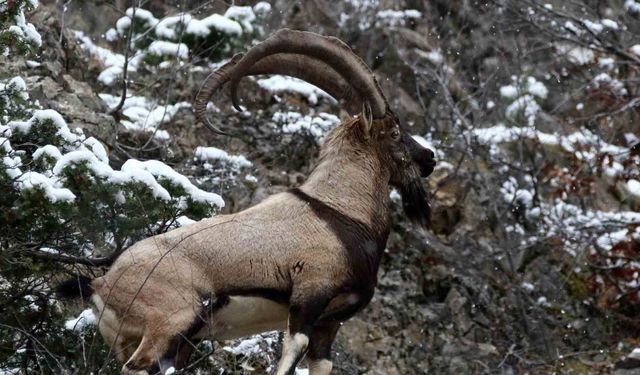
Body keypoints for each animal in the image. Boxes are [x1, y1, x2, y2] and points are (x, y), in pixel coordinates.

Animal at [60, 27, 438, 374]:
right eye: (394, 132)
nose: (429, 158)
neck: (340, 211)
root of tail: (101, 283)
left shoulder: (328, 326)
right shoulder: (309, 296)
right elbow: (289, 355)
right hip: (171, 323)